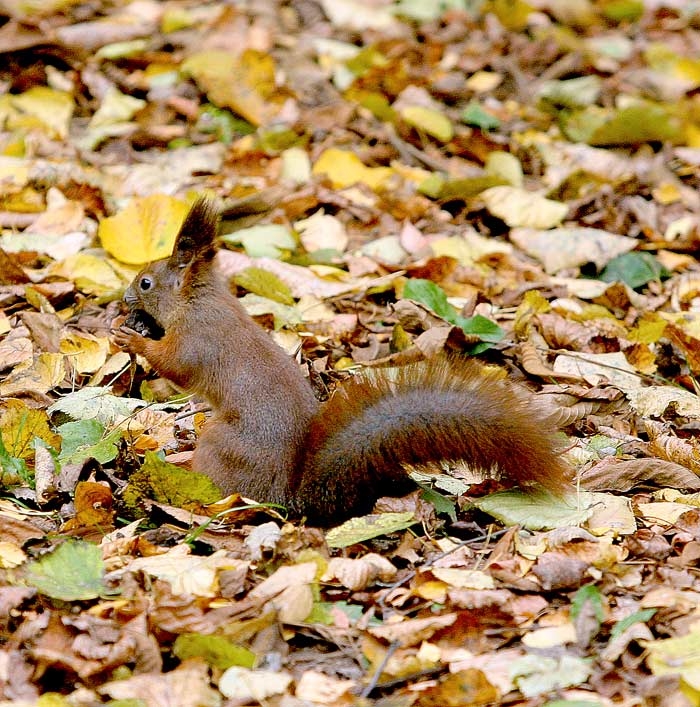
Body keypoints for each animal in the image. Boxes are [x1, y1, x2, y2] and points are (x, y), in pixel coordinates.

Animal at [115, 198, 572, 524]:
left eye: (146, 282)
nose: (123, 299)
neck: (198, 300)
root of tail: (290, 496)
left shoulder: (199, 339)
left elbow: (177, 367)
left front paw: (131, 339)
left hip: (222, 446)